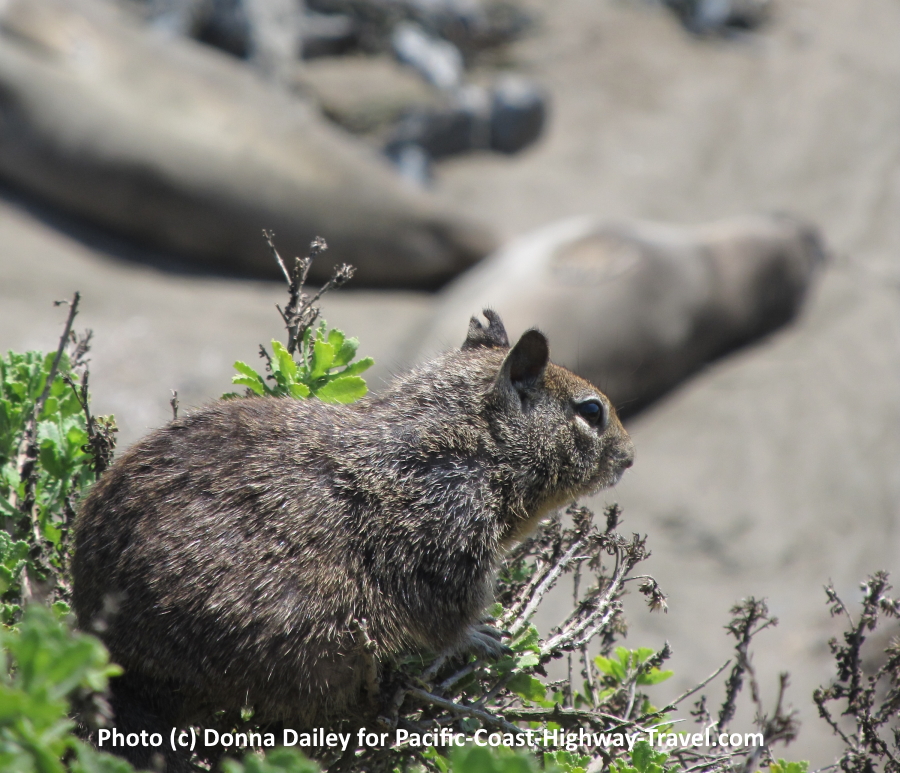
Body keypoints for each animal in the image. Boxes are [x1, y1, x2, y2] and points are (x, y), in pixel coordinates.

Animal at [72, 310, 634, 769]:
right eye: (591, 412)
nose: (629, 457)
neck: (470, 441)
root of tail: (111, 657)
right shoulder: (449, 537)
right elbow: (447, 621)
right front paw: (482, 637)